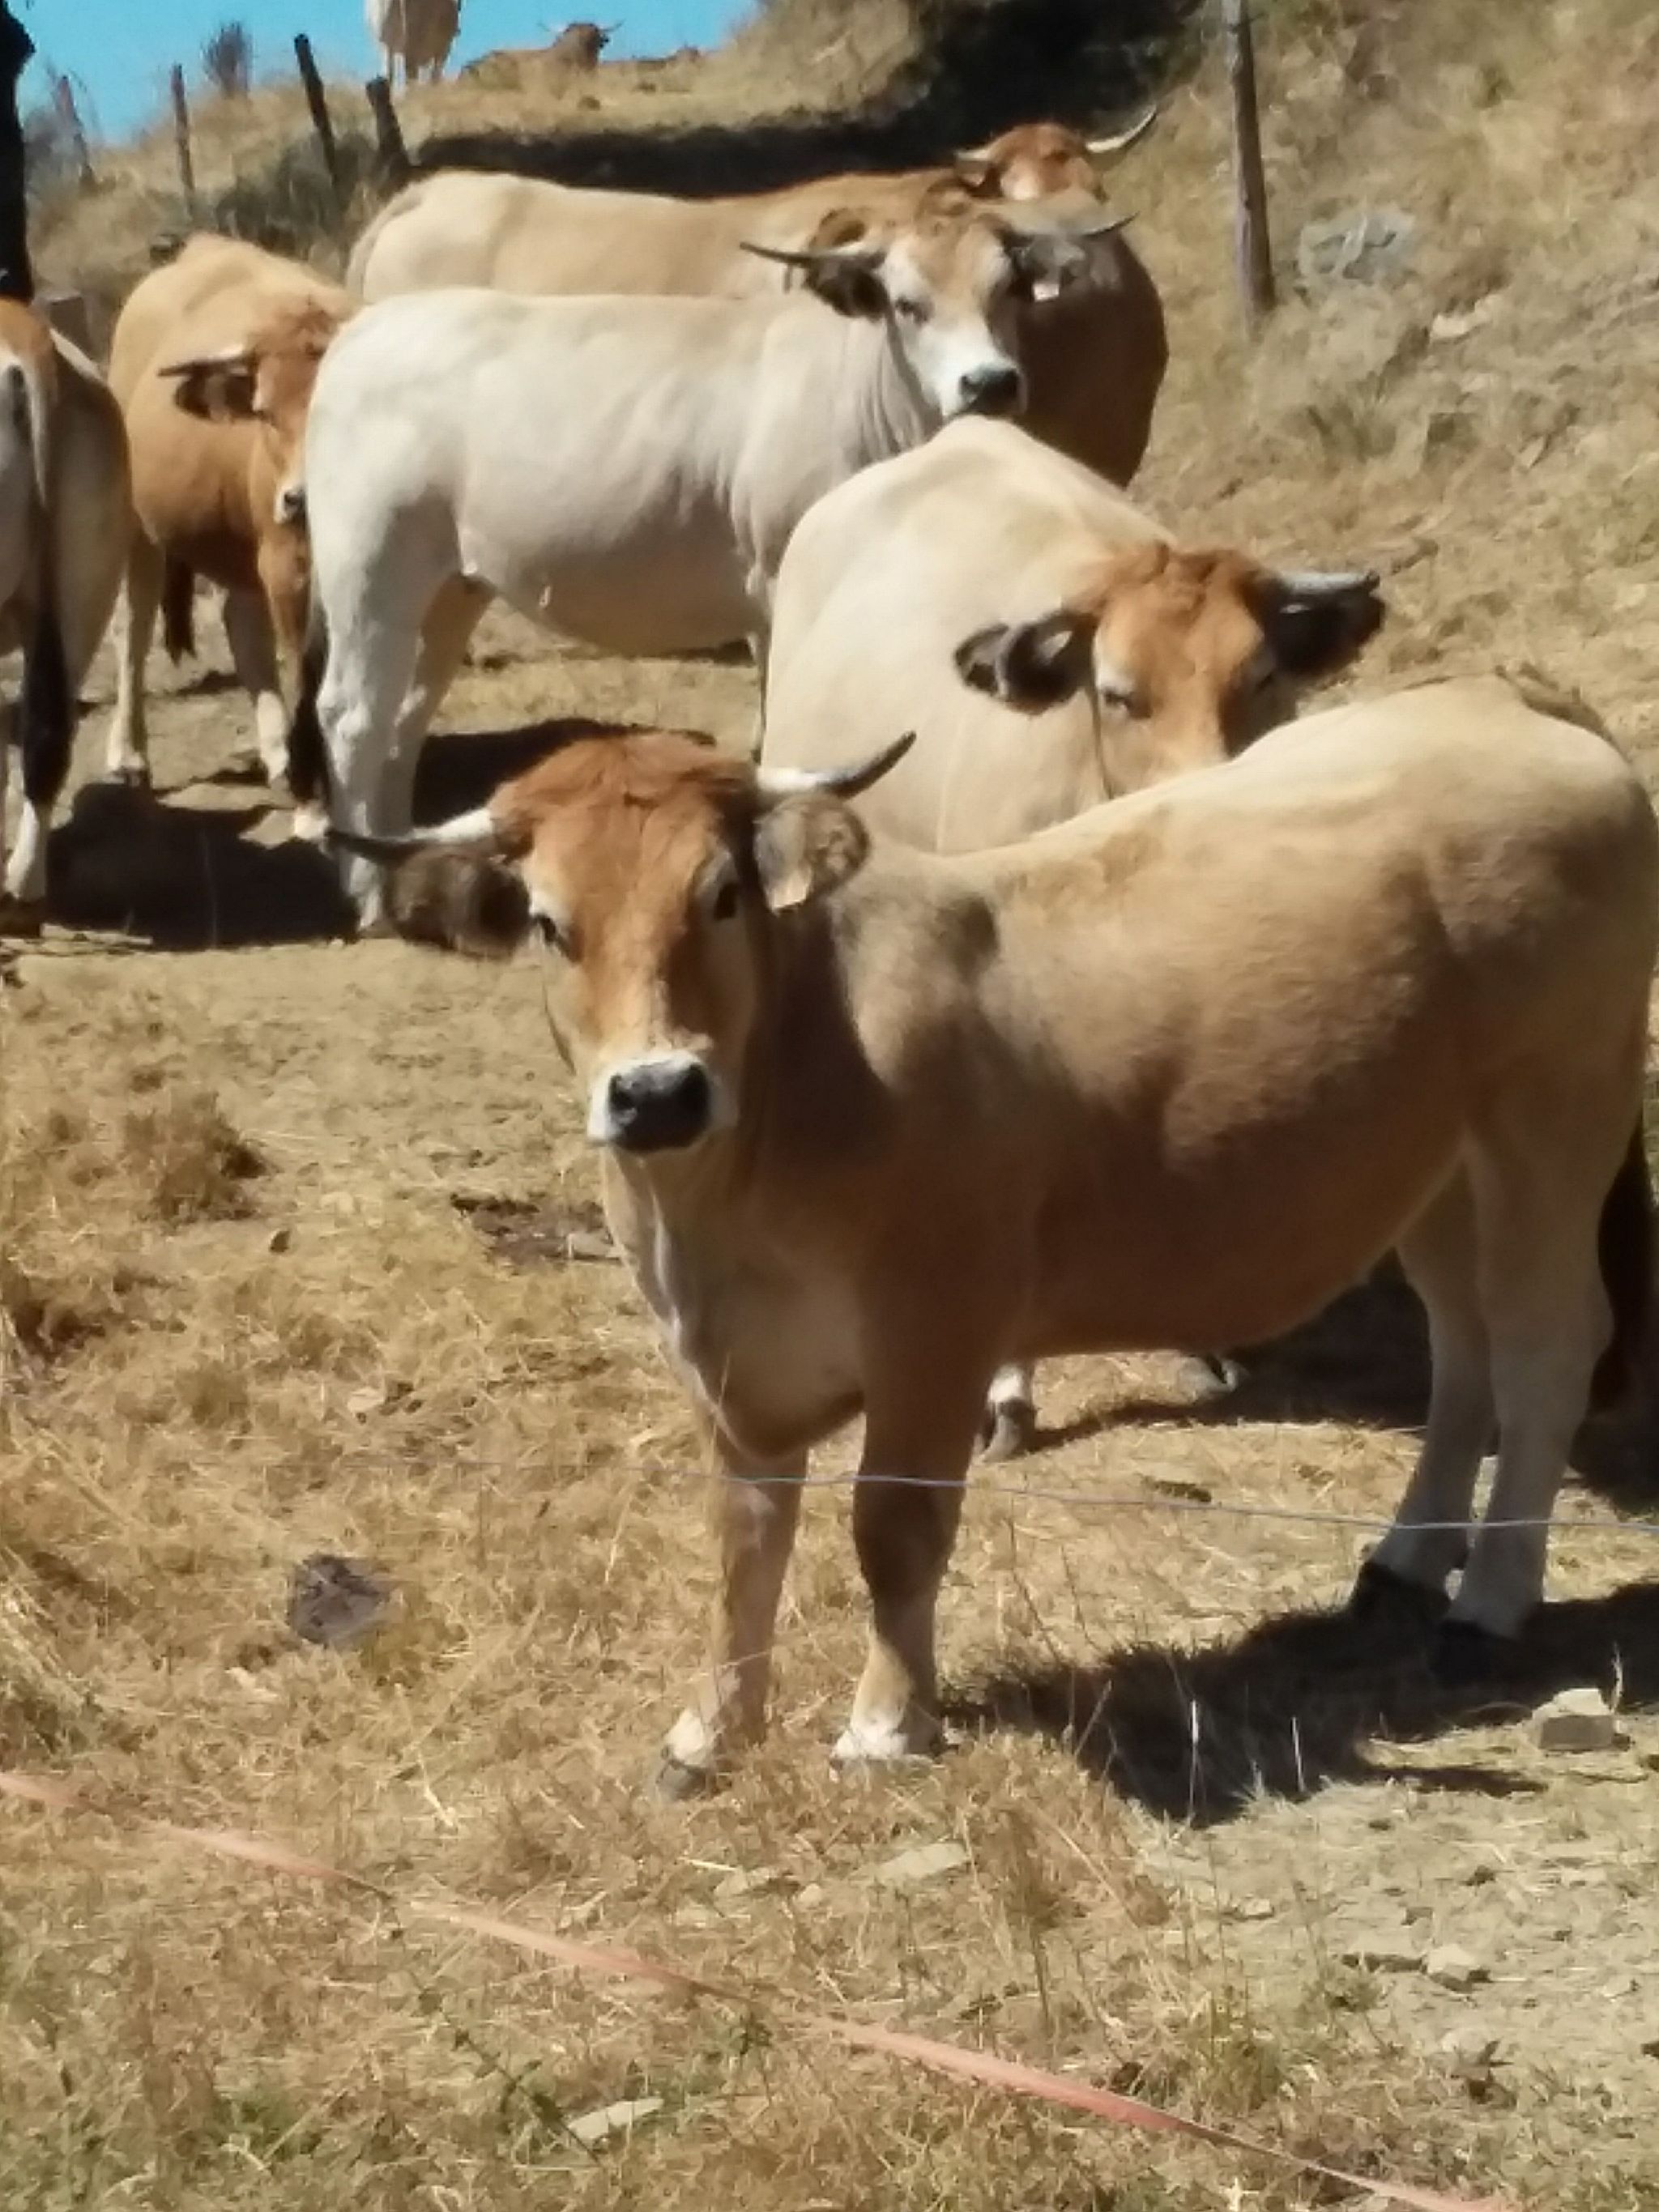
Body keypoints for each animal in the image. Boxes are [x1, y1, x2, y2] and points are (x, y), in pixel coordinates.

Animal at [103, 236, 352, 793]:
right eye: (263, 411)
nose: (300, 499)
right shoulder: (288, 565)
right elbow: (308, 674)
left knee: (243, 624)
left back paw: (276, 749)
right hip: (139, 527)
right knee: (133, 629)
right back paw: (127, 752)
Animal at [295, 198, 1130, 921]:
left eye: (1008, 291)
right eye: (908, 304)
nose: (989, 383)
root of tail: (365, 331)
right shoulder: (776, 574)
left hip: (451, 584)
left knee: (406, 711)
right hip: (370, 561)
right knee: (353, 713)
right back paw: (365, 891)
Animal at [329, 678, 1658, 1794]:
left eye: (720, 894)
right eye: (551, 924)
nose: (655, 1091)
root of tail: (1498, 699)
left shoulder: (936, 1330)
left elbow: (891, 1527)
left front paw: (883, 1726)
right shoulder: (724, 1364)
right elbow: (743, 1539)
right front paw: (711, 1732)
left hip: (1553, 1115)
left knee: (1543, 1344)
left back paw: (1489, 1598)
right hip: (1435, 1164)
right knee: (1462, 1347)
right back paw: (1405, 1558)